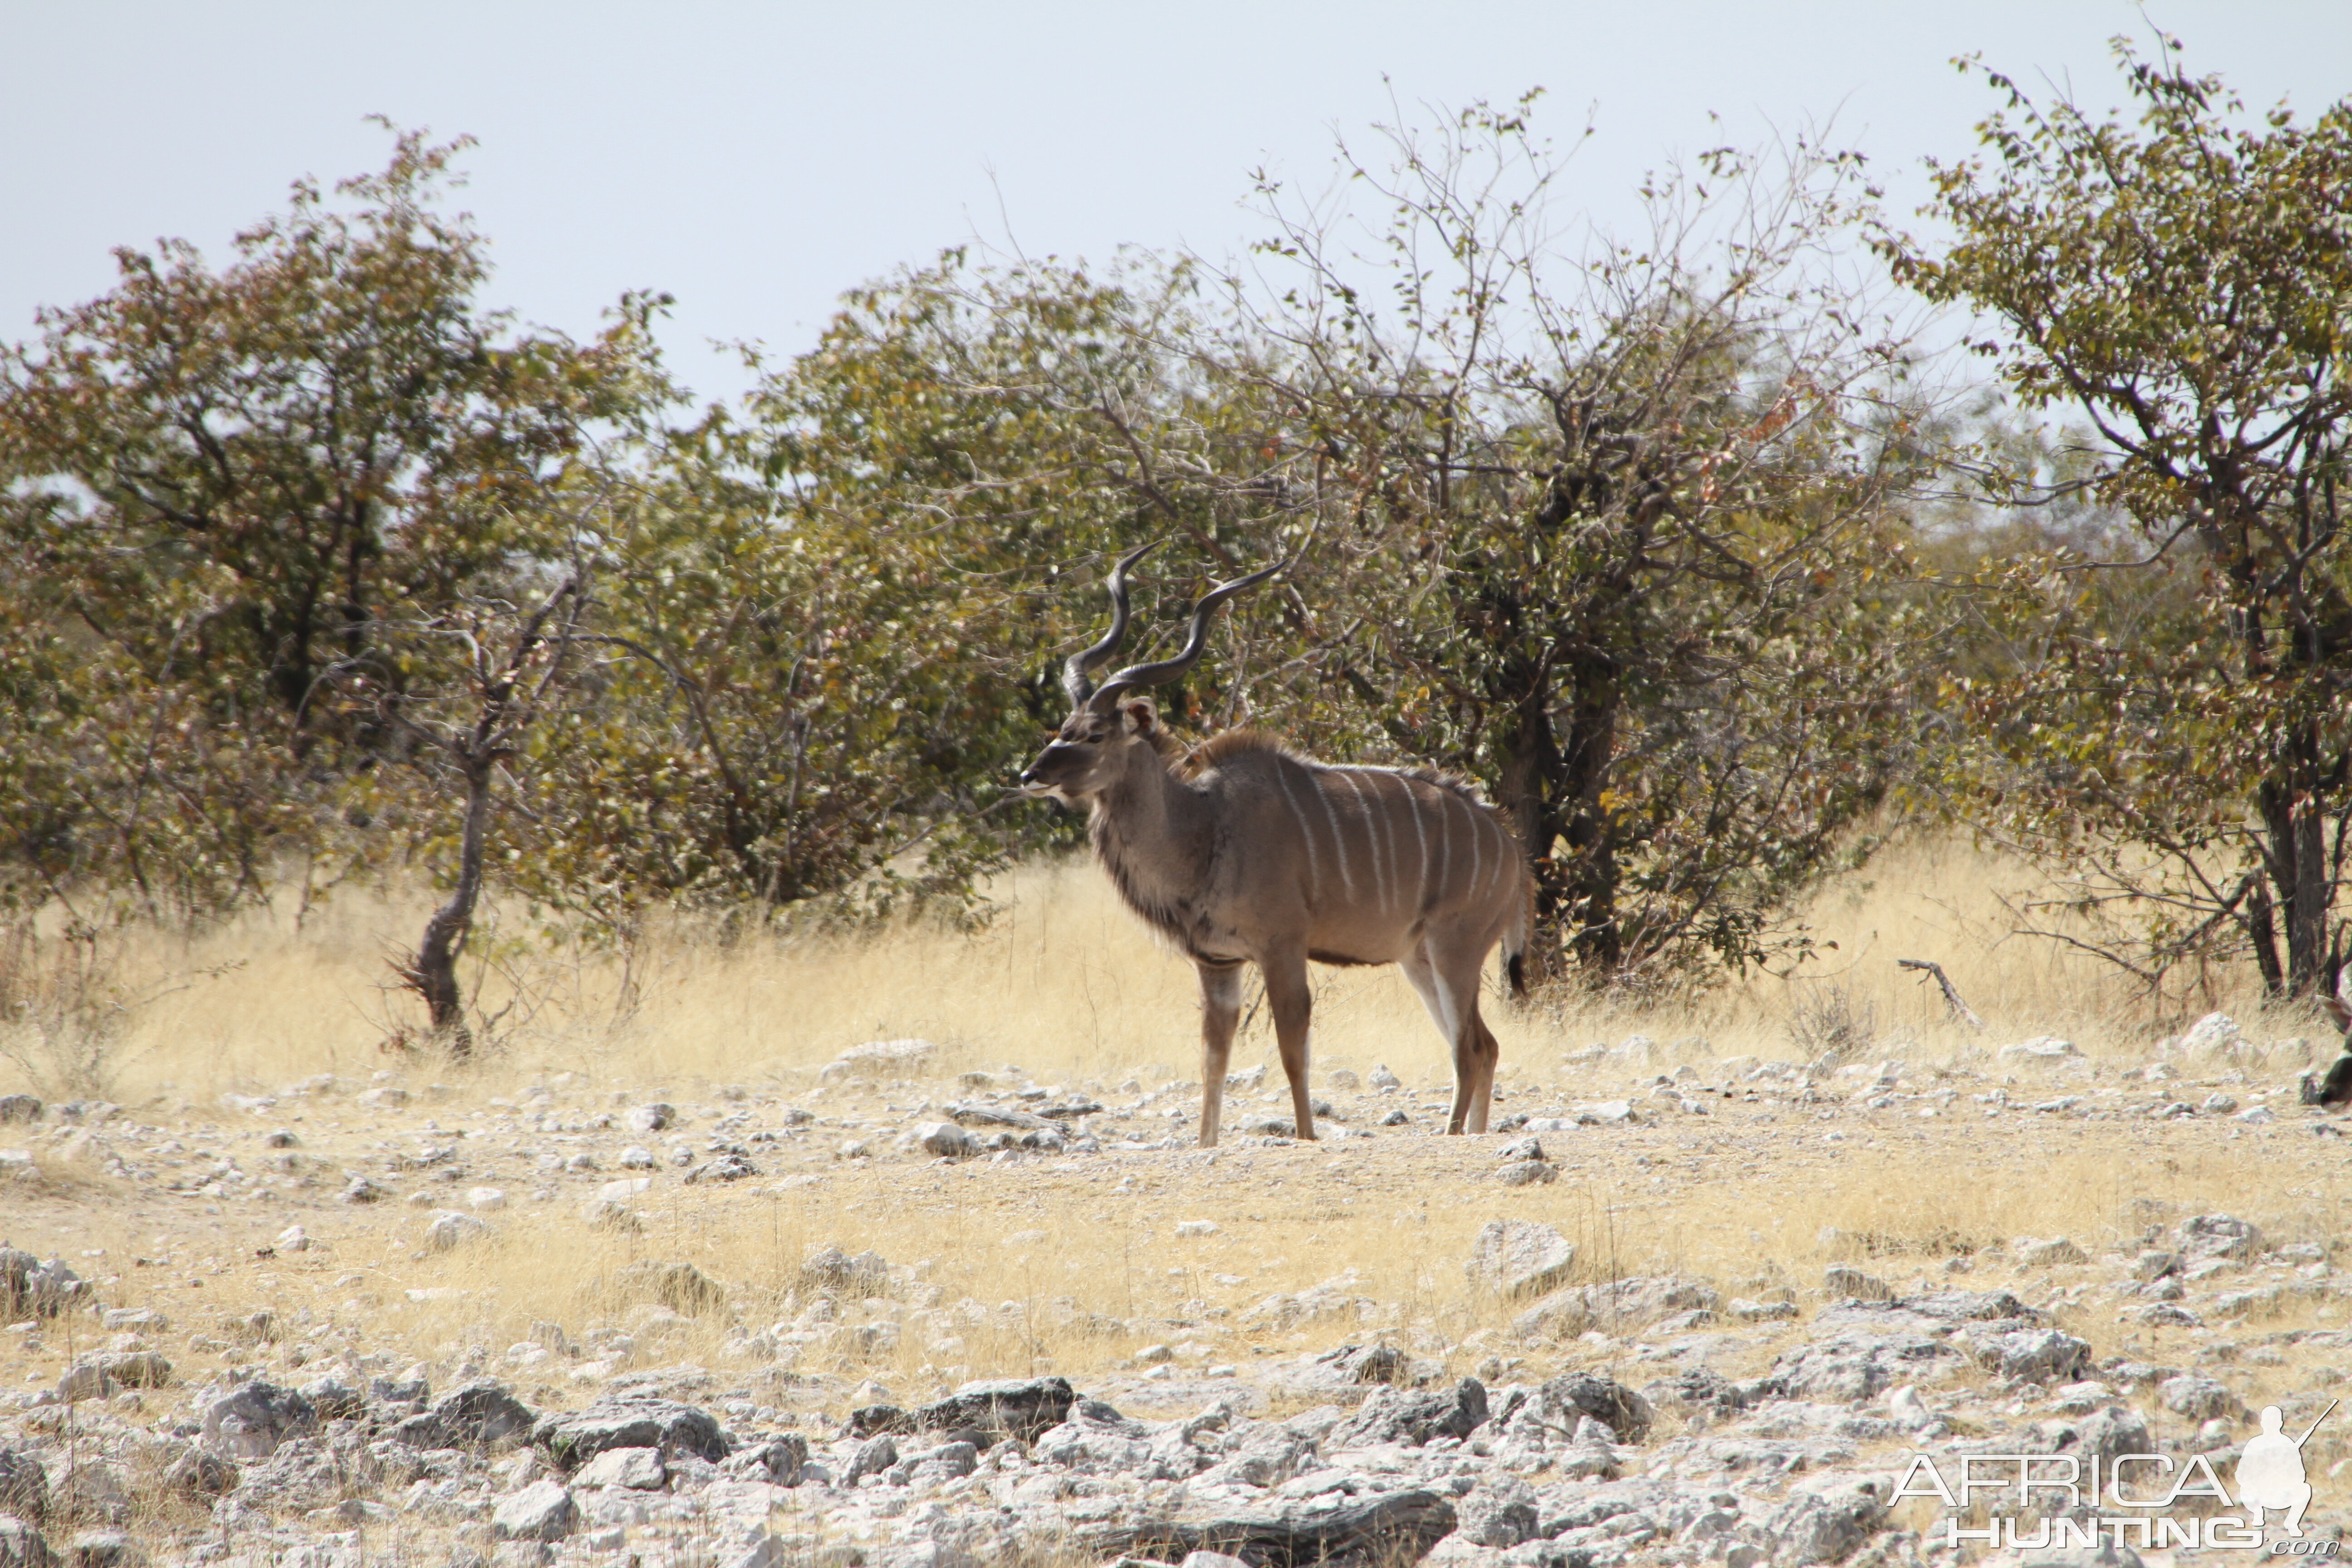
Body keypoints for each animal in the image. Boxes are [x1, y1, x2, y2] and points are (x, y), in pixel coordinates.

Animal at [1020, 545, 1533, 1147]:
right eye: (1064, 725)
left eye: (1096, 734)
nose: (1030, 775)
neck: (1203, 826)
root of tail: (1509, 844)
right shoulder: (1217, 961)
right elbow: (1213, 1058)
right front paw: (1206, 1143)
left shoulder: (1282, 946)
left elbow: (1293, 1050)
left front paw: (1307, 1137)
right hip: (1420, 957)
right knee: (1484, 1043)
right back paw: (1474, 1134)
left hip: (1457, 948)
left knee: (1468, 1047)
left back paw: (1453, 1135)